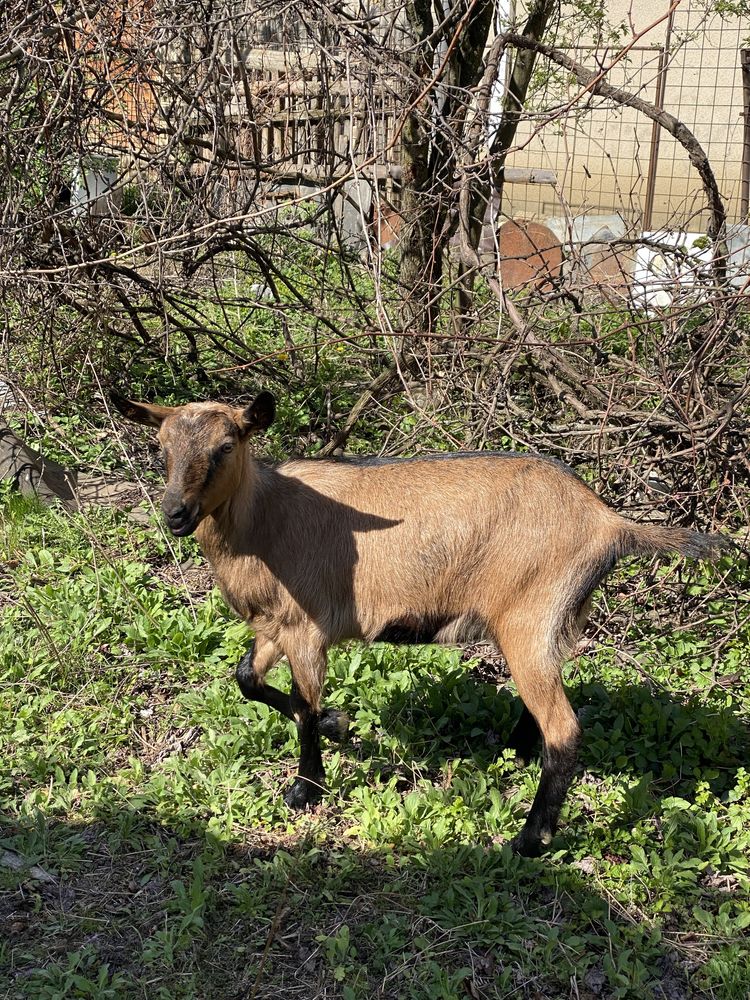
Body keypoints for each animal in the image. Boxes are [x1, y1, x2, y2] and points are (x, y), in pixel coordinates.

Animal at [114, 386, 732, 856]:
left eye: (225, 446)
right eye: (162, 446)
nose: (175, 514)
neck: (264, 519)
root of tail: (608, 521)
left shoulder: (307, 628)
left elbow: (304, 709)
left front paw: (306, 788)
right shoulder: (273, 627)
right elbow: (249, 680)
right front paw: (340, 724)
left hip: (529, 618)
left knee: (565, 728)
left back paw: (529, 840)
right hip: (549, 627)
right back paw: (515, 751)